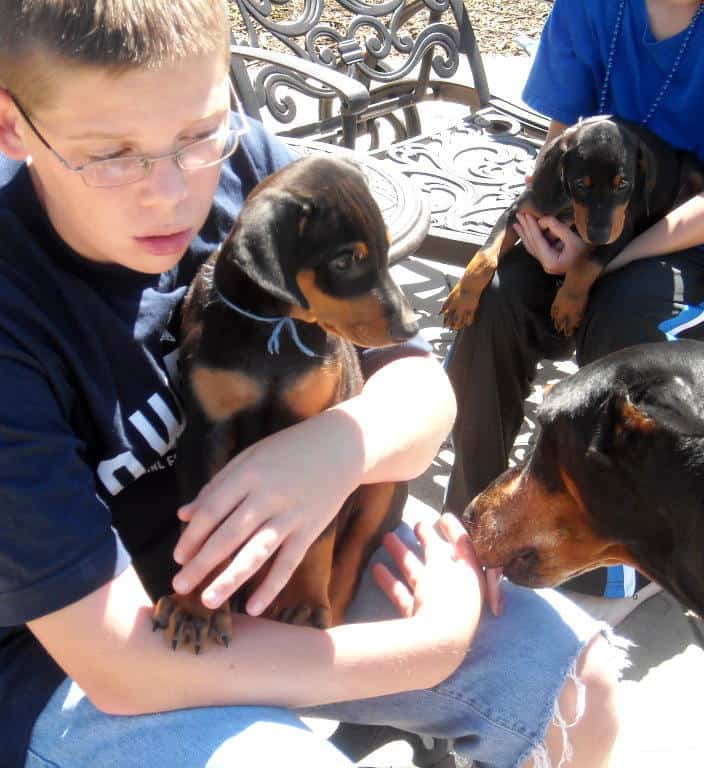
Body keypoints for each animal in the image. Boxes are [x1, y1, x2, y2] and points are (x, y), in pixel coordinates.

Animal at [154, 156, 418, 656]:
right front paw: (196, 609)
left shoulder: (317, 436)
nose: (410, 327)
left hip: (382, 490)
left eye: (385, 249)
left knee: (350, 559)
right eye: (344, 260)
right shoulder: (206, 434)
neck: (273, 327)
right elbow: (199, 534)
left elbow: (318, 535)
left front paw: (303, 603)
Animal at [442, 115, 700, 334]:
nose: (598, 236)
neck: (568, 205)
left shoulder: (621, 231)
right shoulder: (517, 211)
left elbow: (585, 263)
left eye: (623, 183)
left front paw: (568, 304)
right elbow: (485, 257)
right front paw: (461, 300)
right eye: (580, 184)